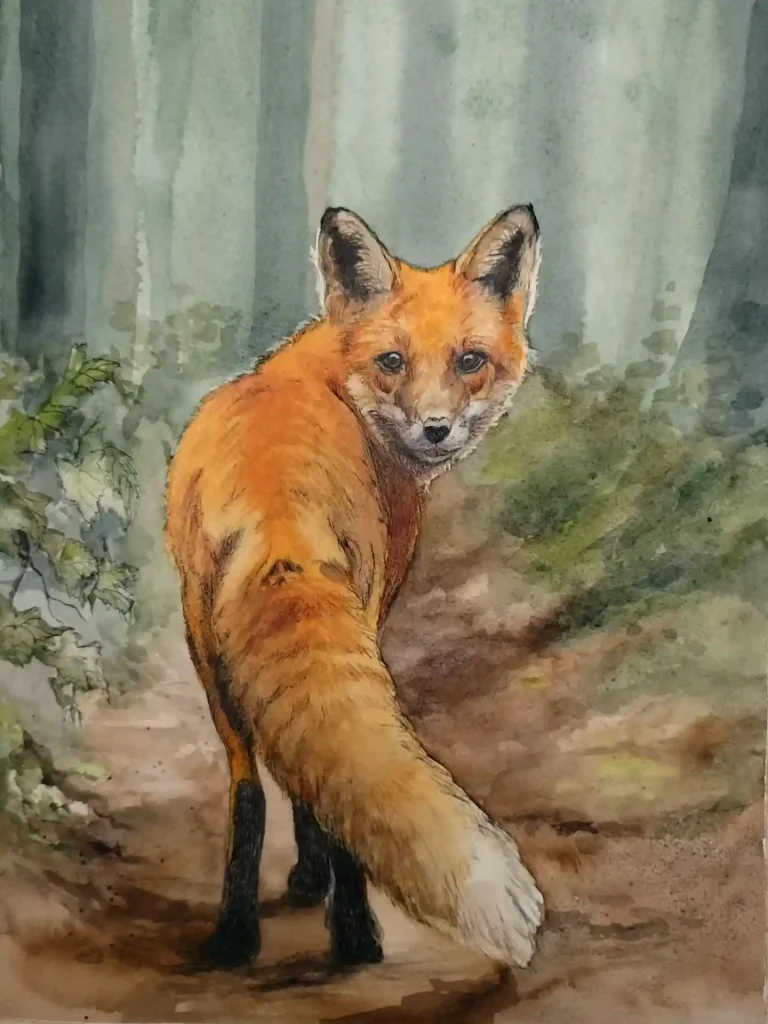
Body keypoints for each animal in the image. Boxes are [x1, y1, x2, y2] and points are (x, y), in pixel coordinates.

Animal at [165, 204, 544, 971]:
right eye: (392, 361)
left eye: (469, 361)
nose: (436, 430)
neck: (331, 373)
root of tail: (276, 508)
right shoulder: (378, 598)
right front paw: (316, 881)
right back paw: (356, 938)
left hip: (206, 651)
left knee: (248, 789)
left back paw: (235, 936)